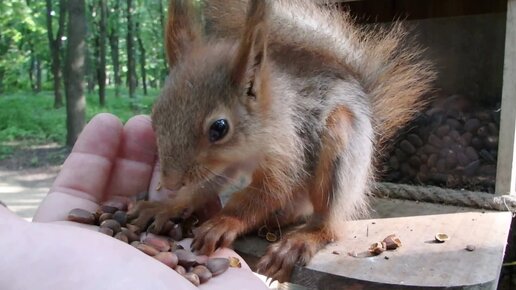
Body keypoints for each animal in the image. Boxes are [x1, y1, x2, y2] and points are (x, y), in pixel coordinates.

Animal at [128, 0, 432, 280]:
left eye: (219, 128)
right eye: (155, 114)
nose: (169, 183)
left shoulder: (288, 148)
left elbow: (271, 191)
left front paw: (224, 221)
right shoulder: (223, 165)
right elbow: (205, 186)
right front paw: (167, 205)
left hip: (341, 147)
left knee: (328, 223)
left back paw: (299, 241)